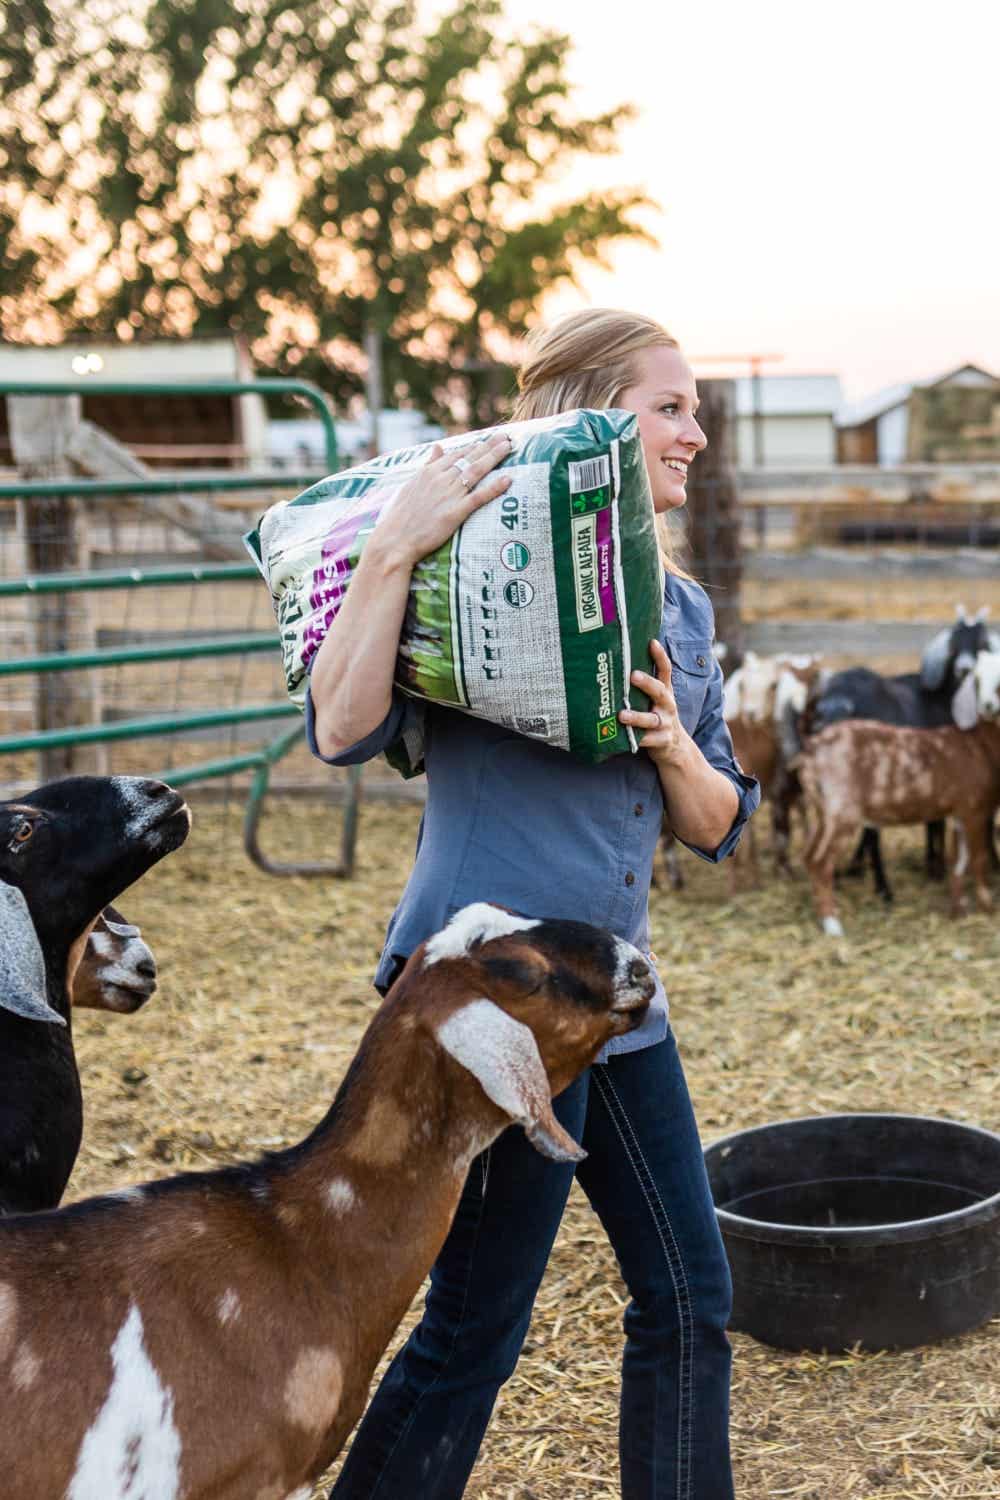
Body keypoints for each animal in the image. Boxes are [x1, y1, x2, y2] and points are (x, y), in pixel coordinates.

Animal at [803, 600, 1000, 900]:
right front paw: (935, 867)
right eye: (954, 644)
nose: (964, 669)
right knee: (872, 835)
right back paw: (884, 888)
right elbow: (935, 823)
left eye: (980, 643)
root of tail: (838, 700)